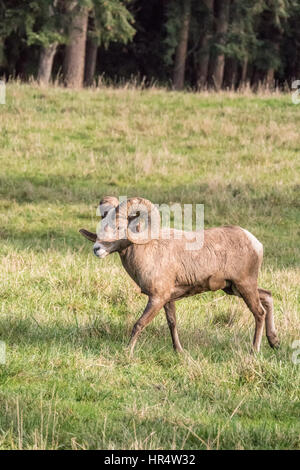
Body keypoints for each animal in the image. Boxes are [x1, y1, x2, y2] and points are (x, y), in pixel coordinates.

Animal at [79, 196, 278, 354]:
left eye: (120, 227)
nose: (97, 249)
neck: (148, 251)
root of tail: (255, 243)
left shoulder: (157, 298)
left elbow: (139, 324)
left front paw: (127, 352)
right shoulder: (168, 299)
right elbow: (172, 323)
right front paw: (179, 351)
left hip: (245, 286)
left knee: (259, 313)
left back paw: (254, 350)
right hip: (233, 288)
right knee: (267, 296)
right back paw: (274, 342)